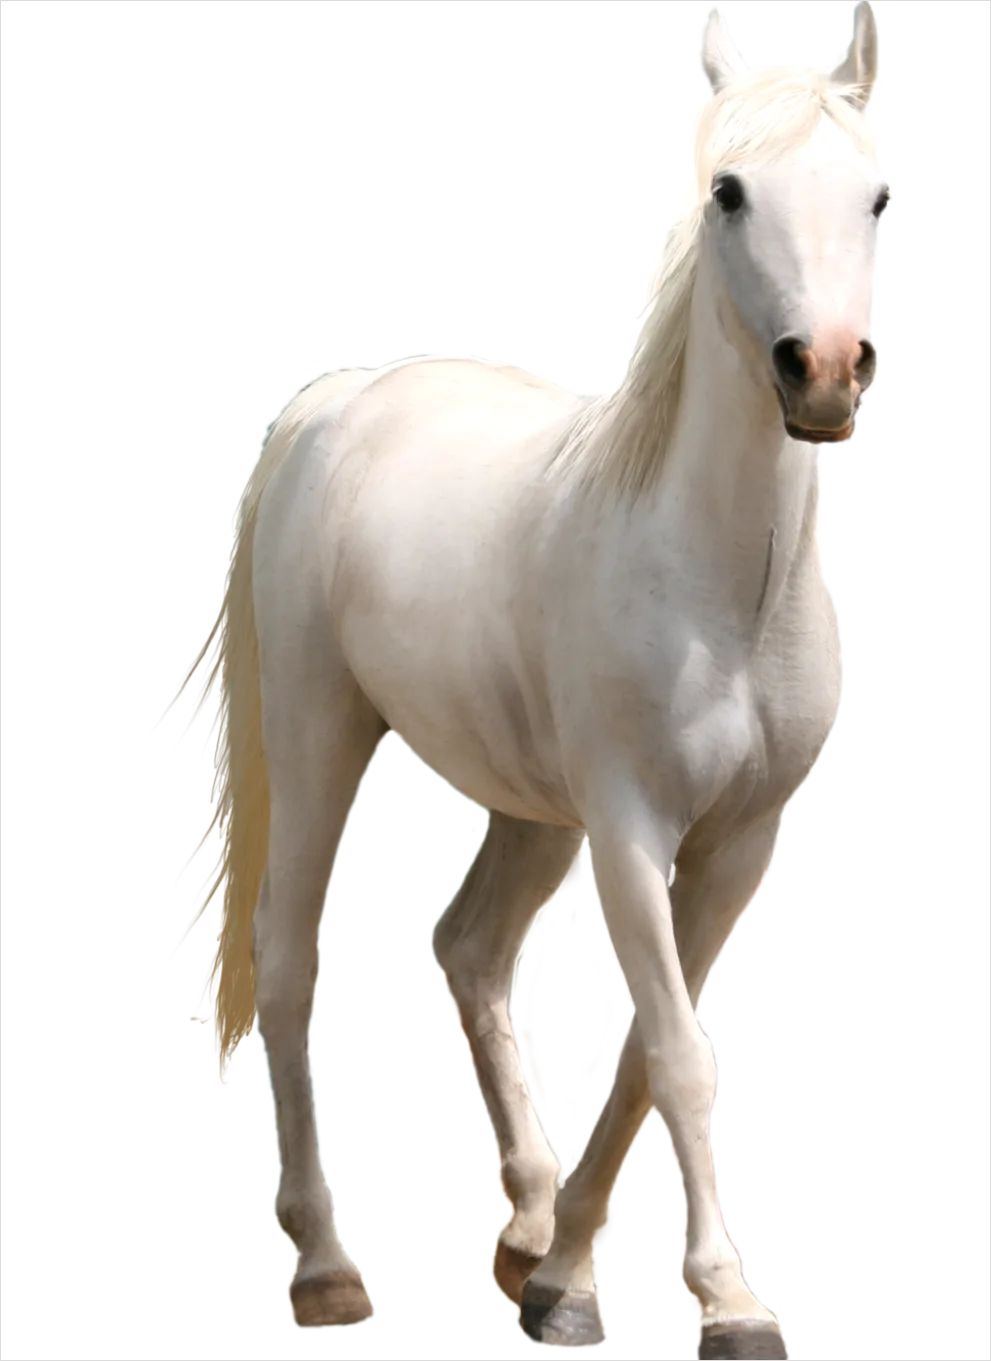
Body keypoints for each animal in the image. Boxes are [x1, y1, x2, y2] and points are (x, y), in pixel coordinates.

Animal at [153, 6, 887, 1354]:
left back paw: (530, 1225)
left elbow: (649, 1048)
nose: (822, 371)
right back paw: (326, 1267)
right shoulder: (635, 827)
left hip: (531, 806)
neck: (720, 583)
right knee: (289, 961)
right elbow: (679, 1049)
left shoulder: (741, 837)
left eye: (874, 195)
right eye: (728, 191)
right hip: (324, 733)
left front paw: (569, 1273)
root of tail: (346, 393)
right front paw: (722, 1296)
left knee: (472, 951)